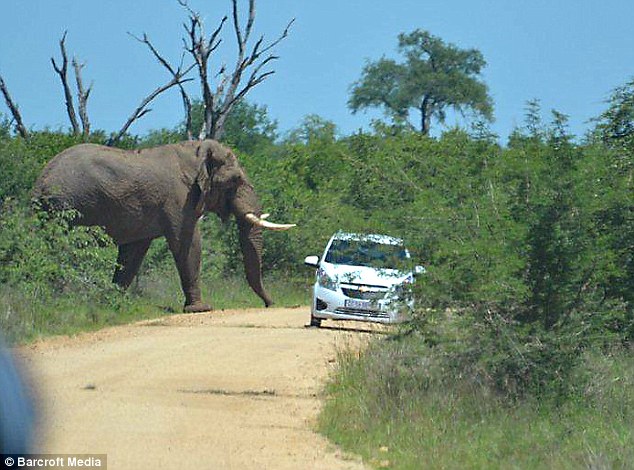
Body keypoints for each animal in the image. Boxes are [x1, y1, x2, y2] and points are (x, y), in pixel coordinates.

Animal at [32, 139, 294, 312]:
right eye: (235, 180)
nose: (270, 304)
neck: (195, 152)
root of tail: (40, 182)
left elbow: (133, 253)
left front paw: (114, 303)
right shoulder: (180, 199)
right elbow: (188, 243)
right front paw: (201, 309)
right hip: (68, 205)